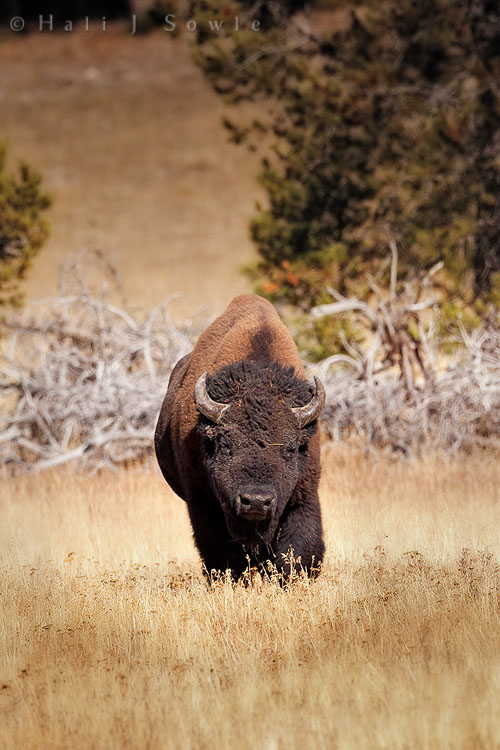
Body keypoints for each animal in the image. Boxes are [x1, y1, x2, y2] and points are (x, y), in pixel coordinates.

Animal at [154, 294, 325, 579]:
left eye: (291, 448)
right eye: (225, 445)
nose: (256, 501)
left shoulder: (304, 495)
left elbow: (297, 551)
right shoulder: (202, 503)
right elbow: (223, 557)